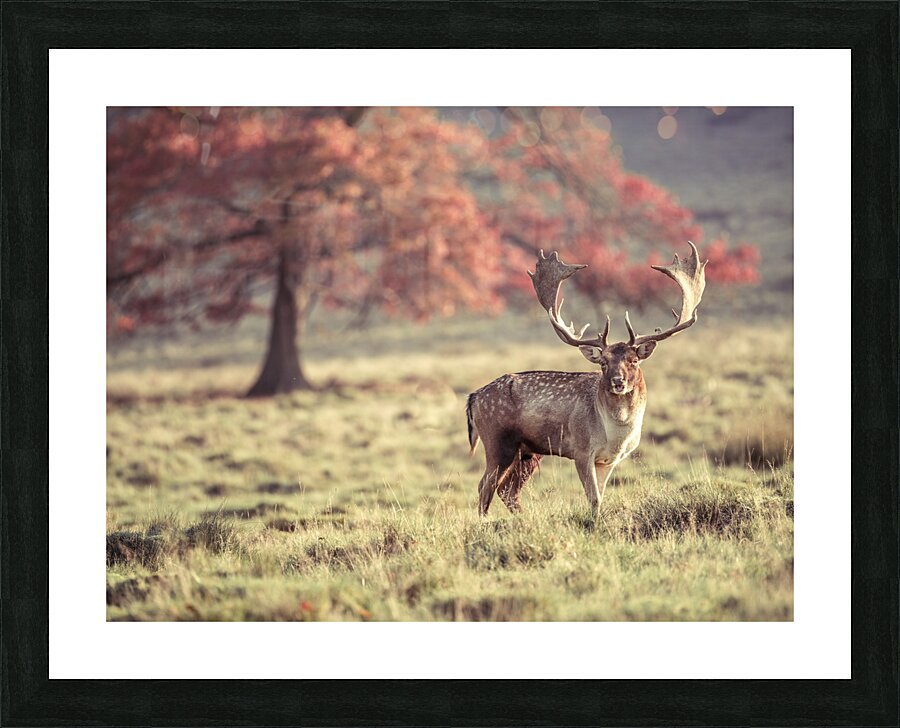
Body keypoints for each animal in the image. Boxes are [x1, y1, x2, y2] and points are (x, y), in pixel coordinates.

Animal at [466, 242, 707, 517]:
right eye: (603, 363)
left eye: (633, 360)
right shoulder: (581, 451)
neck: (616, 434)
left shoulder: (608, 460)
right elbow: (593, 499)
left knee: (507, 490)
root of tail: (473, 397)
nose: (618, 382)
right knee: (485, 486)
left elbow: (600, 497)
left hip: (527, 451)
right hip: (498, 441)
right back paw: (486, 522)